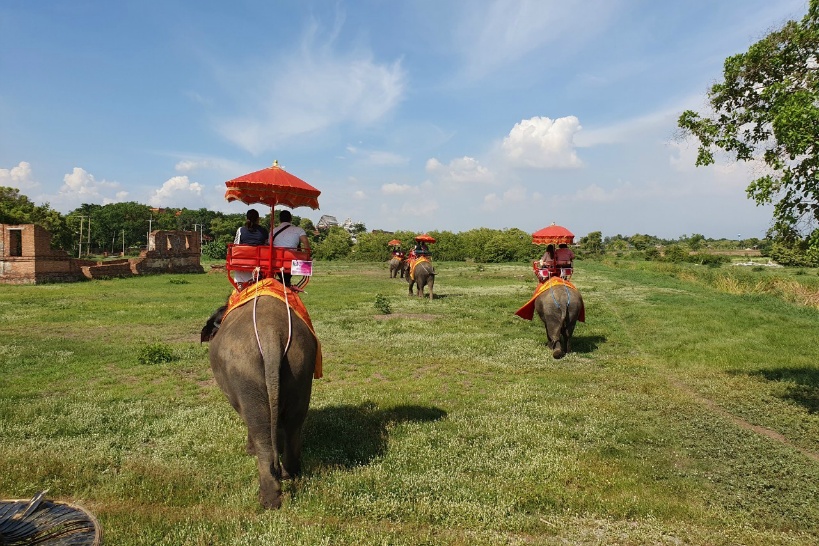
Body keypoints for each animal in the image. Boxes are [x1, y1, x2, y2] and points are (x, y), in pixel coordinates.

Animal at [205, 292, 320, 508]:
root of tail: (270, 333)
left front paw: (249, 451)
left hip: (244, 373)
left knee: (260, 430)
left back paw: (269, 500)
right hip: (300, 365)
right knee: (294, 422)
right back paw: (290, 473)